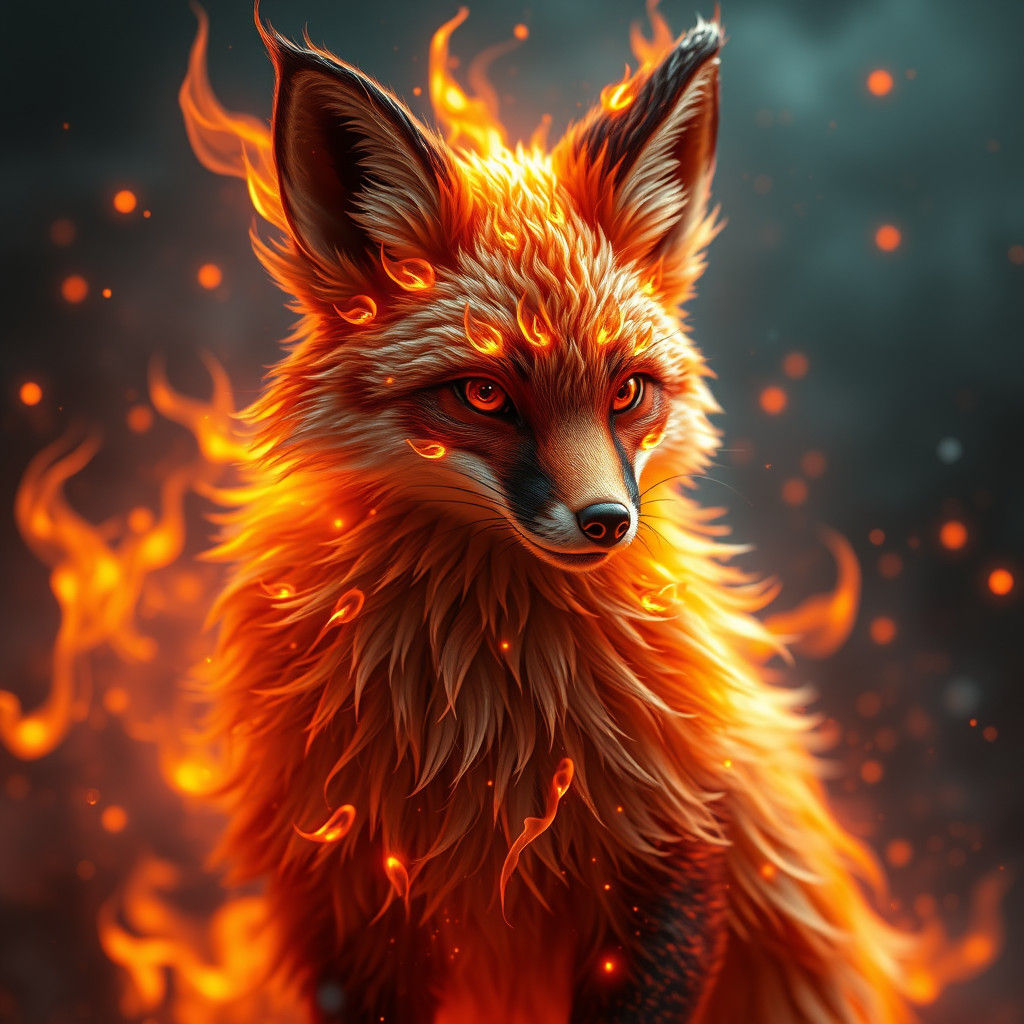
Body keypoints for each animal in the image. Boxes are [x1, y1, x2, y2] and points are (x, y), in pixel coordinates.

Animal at [188, 10, 912, 1024]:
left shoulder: (674, 852)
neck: (486, 719)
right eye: (485, 394)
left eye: (628, 392)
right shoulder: (350, 892)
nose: (608, 521)